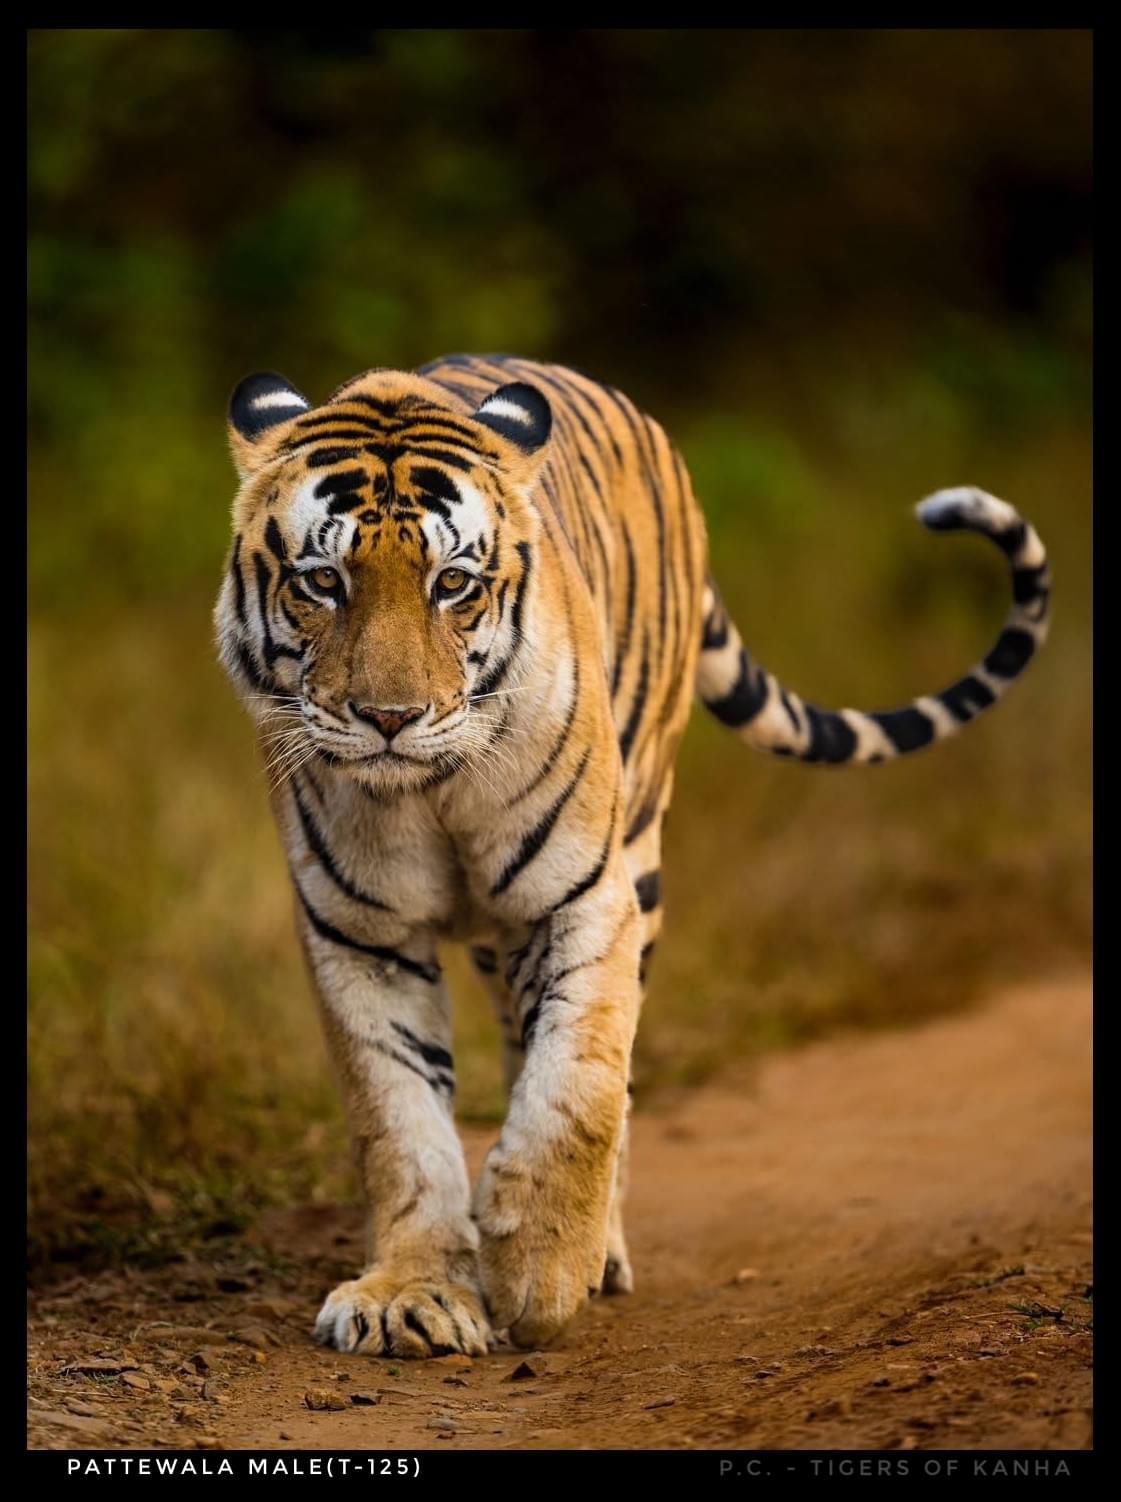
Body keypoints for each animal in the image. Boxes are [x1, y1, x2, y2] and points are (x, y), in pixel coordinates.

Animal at [213, 353, 1050, 1358]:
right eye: (322, 581)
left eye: (452, 584)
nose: (389, 718)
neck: (429, 792)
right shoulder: (357, 933)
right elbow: (398, 1117)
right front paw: (412, 1296)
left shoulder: (583, 895)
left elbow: (579, 1081)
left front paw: (540, 1271)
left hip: (635, 848)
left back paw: (596, 1251)